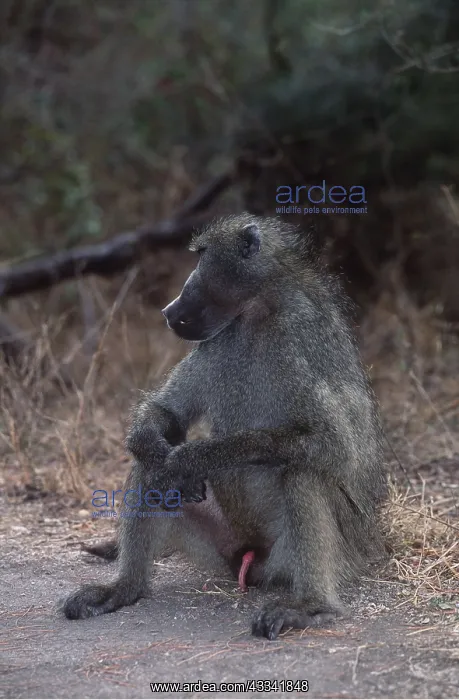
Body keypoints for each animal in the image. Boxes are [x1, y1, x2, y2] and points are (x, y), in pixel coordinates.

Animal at [63, 213, 387, 640]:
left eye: (201, 257)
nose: (168, 308)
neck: (257, 313)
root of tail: (250, 559)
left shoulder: (299, 338)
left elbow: (334, 445)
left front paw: (194, 457)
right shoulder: (217, 342)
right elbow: (166, 415)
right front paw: (161, 448)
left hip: (320, 554)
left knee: (302, 472)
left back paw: (311, 607)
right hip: (220, 545)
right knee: (149, 465)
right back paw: (122, 589)